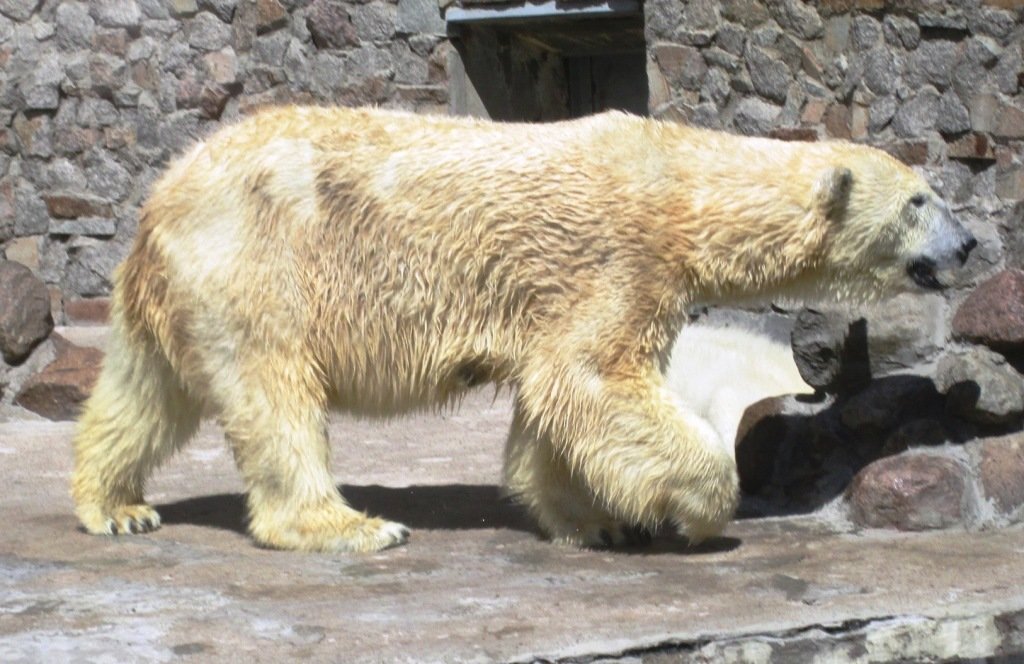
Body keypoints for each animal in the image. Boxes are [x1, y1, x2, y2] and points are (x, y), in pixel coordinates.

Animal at [72, 107, 974, 549]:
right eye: (918, 200)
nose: (968, 242)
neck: (682, 187)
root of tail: (160, 197)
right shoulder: (617, 255)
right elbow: (593, 376)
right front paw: (691, 512)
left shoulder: (576, 291)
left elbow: (552, 404)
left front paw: (590, 521)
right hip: (258, 263)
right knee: (275, 396)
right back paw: (352, 526)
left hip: (182, 287)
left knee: (144, 393)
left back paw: (115, 506)